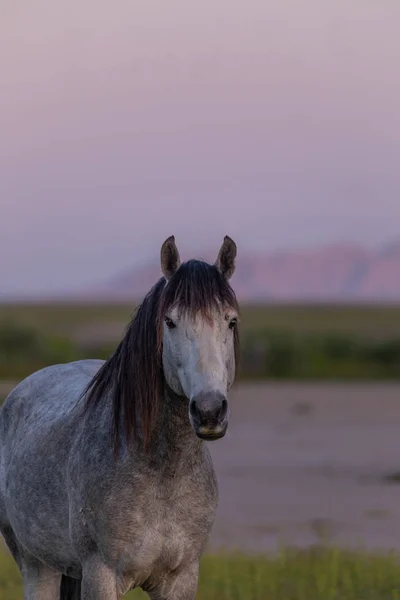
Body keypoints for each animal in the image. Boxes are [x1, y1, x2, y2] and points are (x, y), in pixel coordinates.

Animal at [0, 236, 239, 600]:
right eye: (170, 322)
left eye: (231, 321)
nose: (209, 410)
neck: (164, 474)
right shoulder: (101, 575)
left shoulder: (181, 577)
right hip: (35, 564)